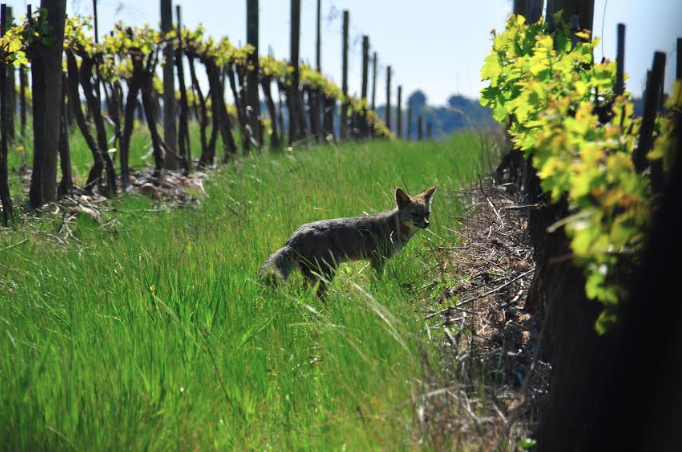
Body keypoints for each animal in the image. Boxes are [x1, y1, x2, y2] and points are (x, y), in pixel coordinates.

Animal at [260, 186, 436, 296]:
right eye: (414, 214)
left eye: (427, 214)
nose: (426, 224)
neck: (392, 226)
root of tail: (297, 234)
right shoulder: (378, 259)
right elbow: (376, 280)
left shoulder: (374, 260)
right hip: (328, 271)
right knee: (319, 293)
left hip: (312, 274)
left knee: (304, 291)